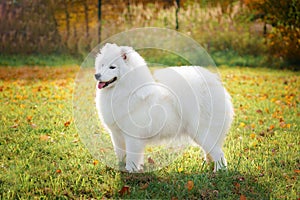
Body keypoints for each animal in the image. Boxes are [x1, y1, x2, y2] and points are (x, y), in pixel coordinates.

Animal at [95, 43, 233, 172]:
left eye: (112, 67)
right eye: (102, 65)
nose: (97, 75)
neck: (124, 91)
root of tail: (211, 84)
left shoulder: (132, 136)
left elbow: (132, 157)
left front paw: (130, 170)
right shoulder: (116, 135)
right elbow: (121, 154)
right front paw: (120, 168)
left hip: (201, 131)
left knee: (219, 153)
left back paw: (218, 170)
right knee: (211, 150)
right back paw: (208, 163)